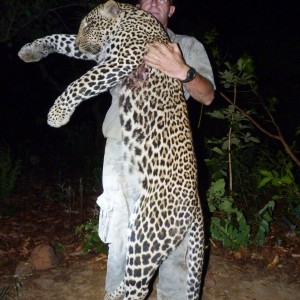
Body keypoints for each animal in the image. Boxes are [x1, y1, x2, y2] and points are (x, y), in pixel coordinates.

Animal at [18, 1, 205, 298]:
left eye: (89, 24)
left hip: (148, 235)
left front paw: (57, 115)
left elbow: (80, 83)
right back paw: (113, 292)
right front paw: (31, 50)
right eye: (82, 27)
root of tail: (197, 204)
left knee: (140, 284)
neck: (128, 19)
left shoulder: (120, 60)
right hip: (137, 225)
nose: (82, 43)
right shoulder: (102, 54)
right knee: (130, 275)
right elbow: (60, 39)